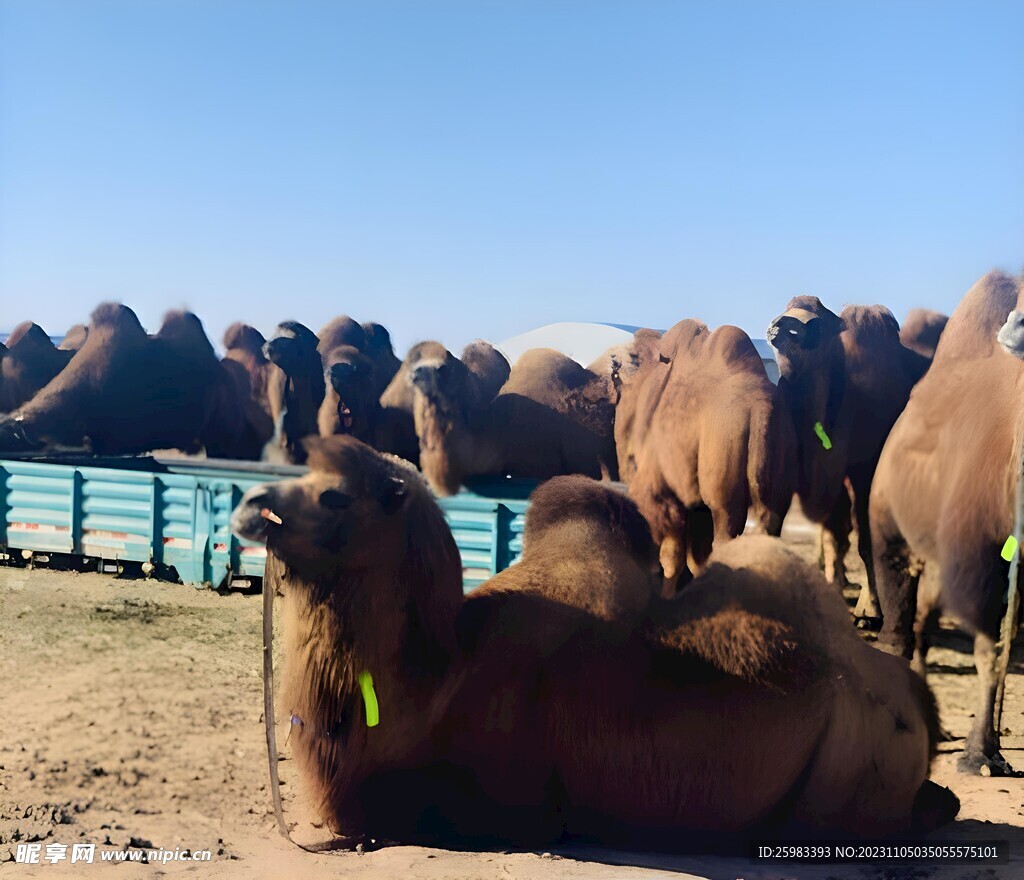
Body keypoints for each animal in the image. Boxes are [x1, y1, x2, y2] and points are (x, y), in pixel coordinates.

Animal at [614, 319, 790, 590]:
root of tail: (760, 411)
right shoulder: (695, 504)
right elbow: (694, 557)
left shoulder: (666, 491)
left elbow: (672, 556)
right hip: (774, 490)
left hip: (722, 495)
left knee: (724, 540)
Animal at [872, 270, 1024, 778]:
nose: (1015, 328)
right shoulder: (981, 559)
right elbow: (990, 649)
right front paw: (980, 755)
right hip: (889, 524)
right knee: (901, 625)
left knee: (923, 623)